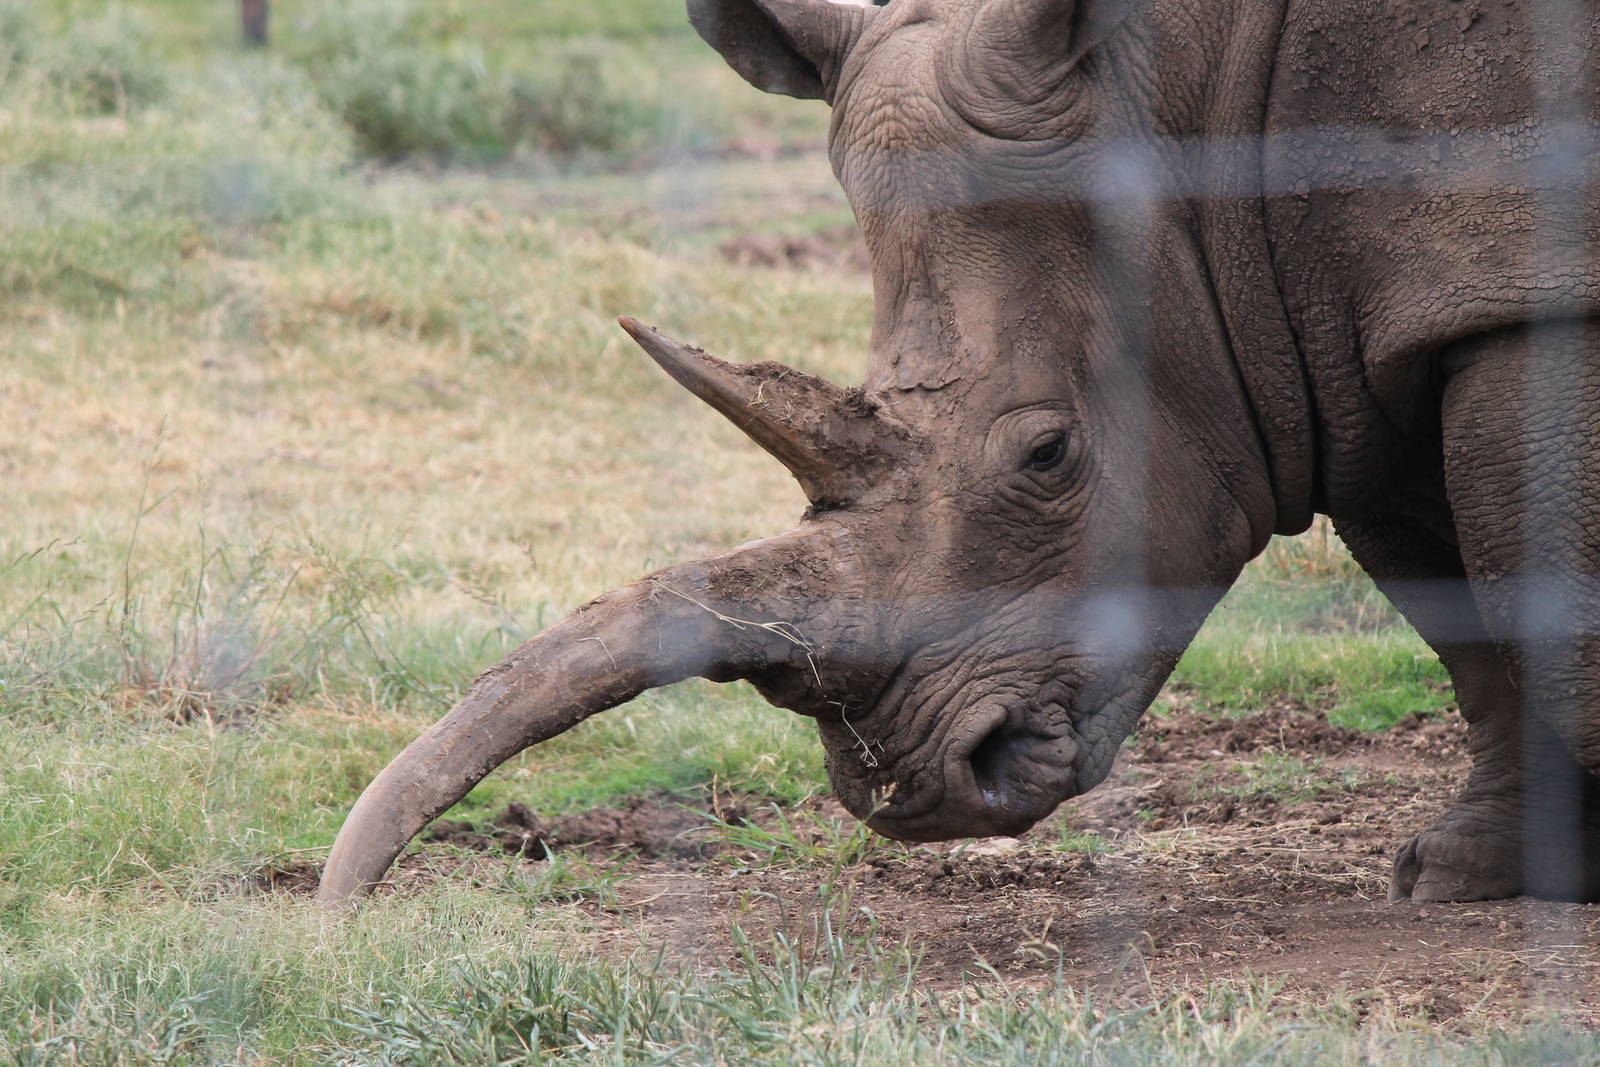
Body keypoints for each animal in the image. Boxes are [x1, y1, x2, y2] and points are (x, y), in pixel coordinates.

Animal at [319, 0, 1600, 907]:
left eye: (1047, 454)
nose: (914, 785)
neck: (1190, 94)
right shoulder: (1349, 336)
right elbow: (1467, 612)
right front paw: (1468, 874)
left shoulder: (1513, 282)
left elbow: (1545, 577)